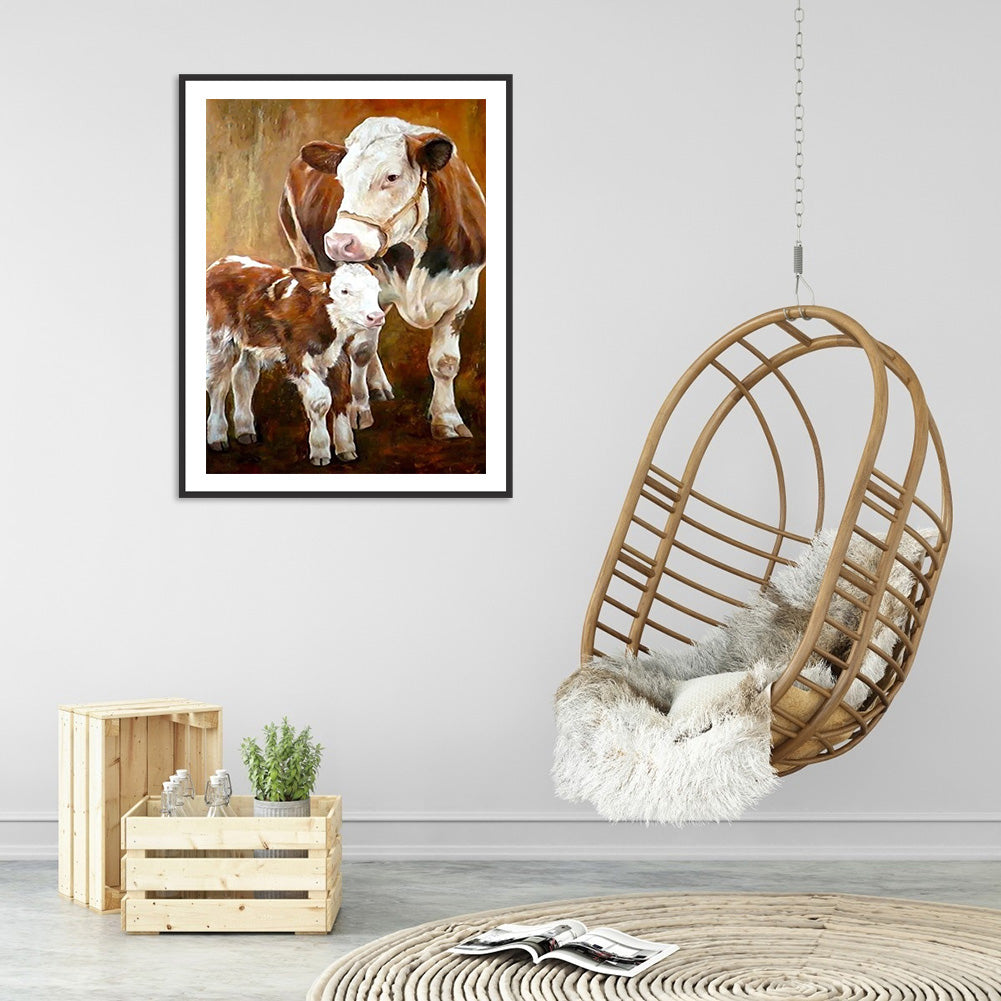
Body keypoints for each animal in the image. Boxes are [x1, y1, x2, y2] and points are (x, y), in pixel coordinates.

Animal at [205, 255, 385, 466]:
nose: (376, 317)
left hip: (250, 339)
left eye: (376, 289)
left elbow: (342, 396)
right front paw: (320, 450)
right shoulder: (297, 357)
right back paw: (217, 437)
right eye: (344, 290)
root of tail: (223, 261)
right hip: (217, 337)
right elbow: (320, 400)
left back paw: (245, 431)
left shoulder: (337, 358)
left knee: (243, 376)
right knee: (218, 384)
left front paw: (346, 448)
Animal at [279, 116, 486, 440]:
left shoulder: (465, 292)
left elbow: (445, 362)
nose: (339, 242)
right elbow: (361, 350)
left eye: (392, 176)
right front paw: (358, 409)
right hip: (304, 254)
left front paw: (447, 418)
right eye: (340, 180)